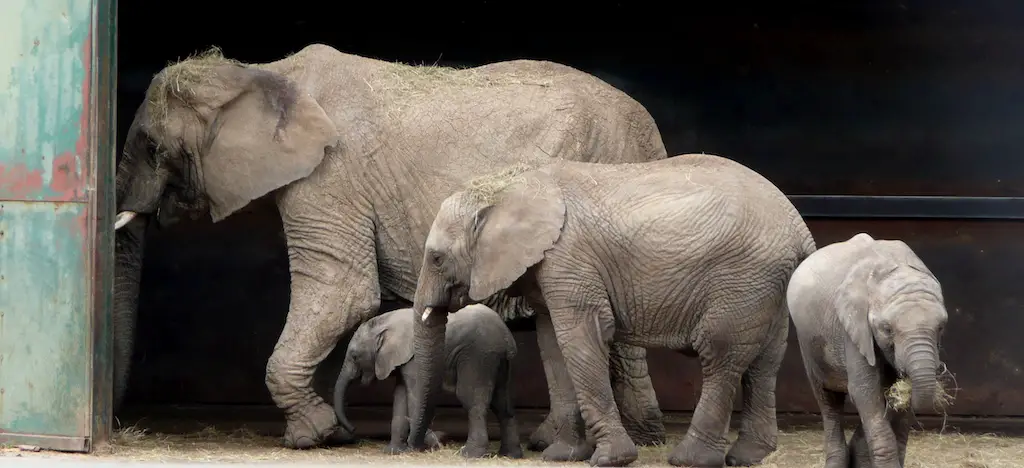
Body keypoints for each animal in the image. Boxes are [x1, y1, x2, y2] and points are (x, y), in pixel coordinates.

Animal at [331, 301, 520, 458]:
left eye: (354, 356)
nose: (354, 428)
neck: (384, 322)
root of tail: (506, 335)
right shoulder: (402, 360)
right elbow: (400, 397)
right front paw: (394, 452)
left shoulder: (415, 358)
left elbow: (415, 394)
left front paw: (419, 446)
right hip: (498, 360)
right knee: (502, 404)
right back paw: (509, 455)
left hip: (478, 356)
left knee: (471, 399)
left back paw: (470, 455)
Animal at [407, 154, 815, 464]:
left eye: (437, 258)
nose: (423, 443)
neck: (509, 185)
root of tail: (801, 227)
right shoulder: (553, 269)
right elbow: (554, 345)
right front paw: (563, 455)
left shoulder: (569, 258)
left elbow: (582, 338)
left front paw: (609, 459)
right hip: (767, 284)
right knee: (765, 362)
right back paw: (749, 457)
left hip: (744, 276)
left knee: (721, 354)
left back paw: (690, 459)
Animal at [786, 231, 954, 464]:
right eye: (887, 329)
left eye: (941, 327)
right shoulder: (853, 327)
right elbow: (864, 390)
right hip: (808, 343)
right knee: (828, 400)